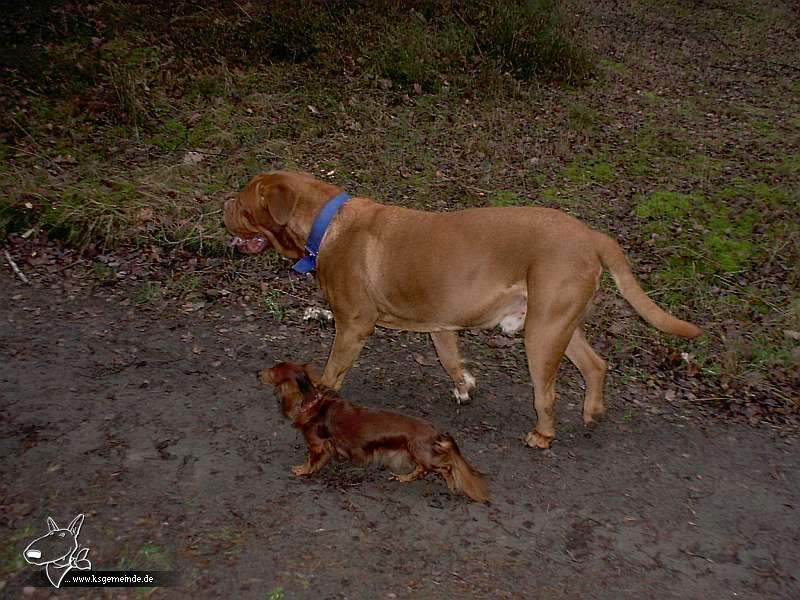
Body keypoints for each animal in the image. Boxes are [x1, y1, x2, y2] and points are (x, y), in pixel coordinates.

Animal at [225, 171, 700, 448]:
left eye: (243, 205)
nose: (222, 206)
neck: (325, 225)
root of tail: (590, 234)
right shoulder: (440, 323)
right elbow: (451, 358)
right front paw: (464, 386)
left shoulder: (353, 325)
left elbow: (331, 373)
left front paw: (314, 401)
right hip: (557, 323)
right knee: (596, 365)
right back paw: (592, 412)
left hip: (541, 333)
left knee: (547, 393)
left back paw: (542, 435)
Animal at [262, 360, 488, 502]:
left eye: (272, 371)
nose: (257, 373)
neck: (312, 402)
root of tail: (437, 431)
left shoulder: (317, 443)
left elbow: (311, 460)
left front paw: (302, 470)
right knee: (423, 470)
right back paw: (405, 478)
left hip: (424, 454)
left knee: (446, 466)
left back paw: (450, 483)